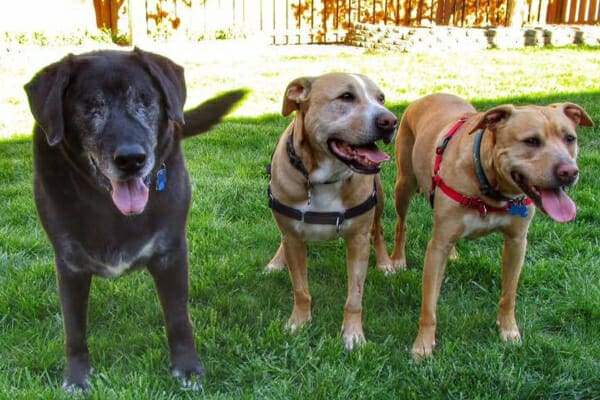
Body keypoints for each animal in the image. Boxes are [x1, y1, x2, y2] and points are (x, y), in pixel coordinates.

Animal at [23, 48, 244, 392]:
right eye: (91, 107)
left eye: (144, 100)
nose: (131, 159)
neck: (110, 208)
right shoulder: (69, 264)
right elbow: (73, 328)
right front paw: (76, 376)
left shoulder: (171, 253)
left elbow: (178, 319)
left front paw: (187, 368)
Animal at [266, 73, 398, 348]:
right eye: (346, 97)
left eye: (381, 98)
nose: (390, 121)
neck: (324, 179)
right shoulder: (293, 238)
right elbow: (300, 289)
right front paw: (299, 322)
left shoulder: (358, 241)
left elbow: (354, 297)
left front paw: (353, 334)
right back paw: (276, 262)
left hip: (379, 200)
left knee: (378, 230)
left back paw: (385, 263)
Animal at [392, 94, 592, 360]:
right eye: (531, 141)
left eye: (570, 138)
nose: (569, 172)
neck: (489, 186)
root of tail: (428, 97)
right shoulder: (437, 247)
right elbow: (429, 306)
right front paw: (423, 345)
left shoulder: (517, 242)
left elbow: (509, 294)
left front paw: (508, 331)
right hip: (404, 184)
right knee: (401, 224)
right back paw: (397, 259)